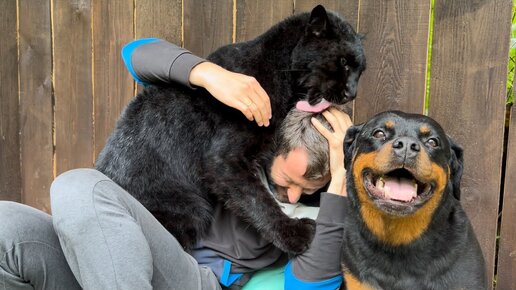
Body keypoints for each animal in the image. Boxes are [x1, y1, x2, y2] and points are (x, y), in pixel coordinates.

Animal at [97, 4, 366, 254]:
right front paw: (295, 234)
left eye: (360, 70)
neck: (280, 69)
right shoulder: (224, 160)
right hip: (191, 208)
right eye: (343, 62)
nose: (352, 92)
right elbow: (258, 200)